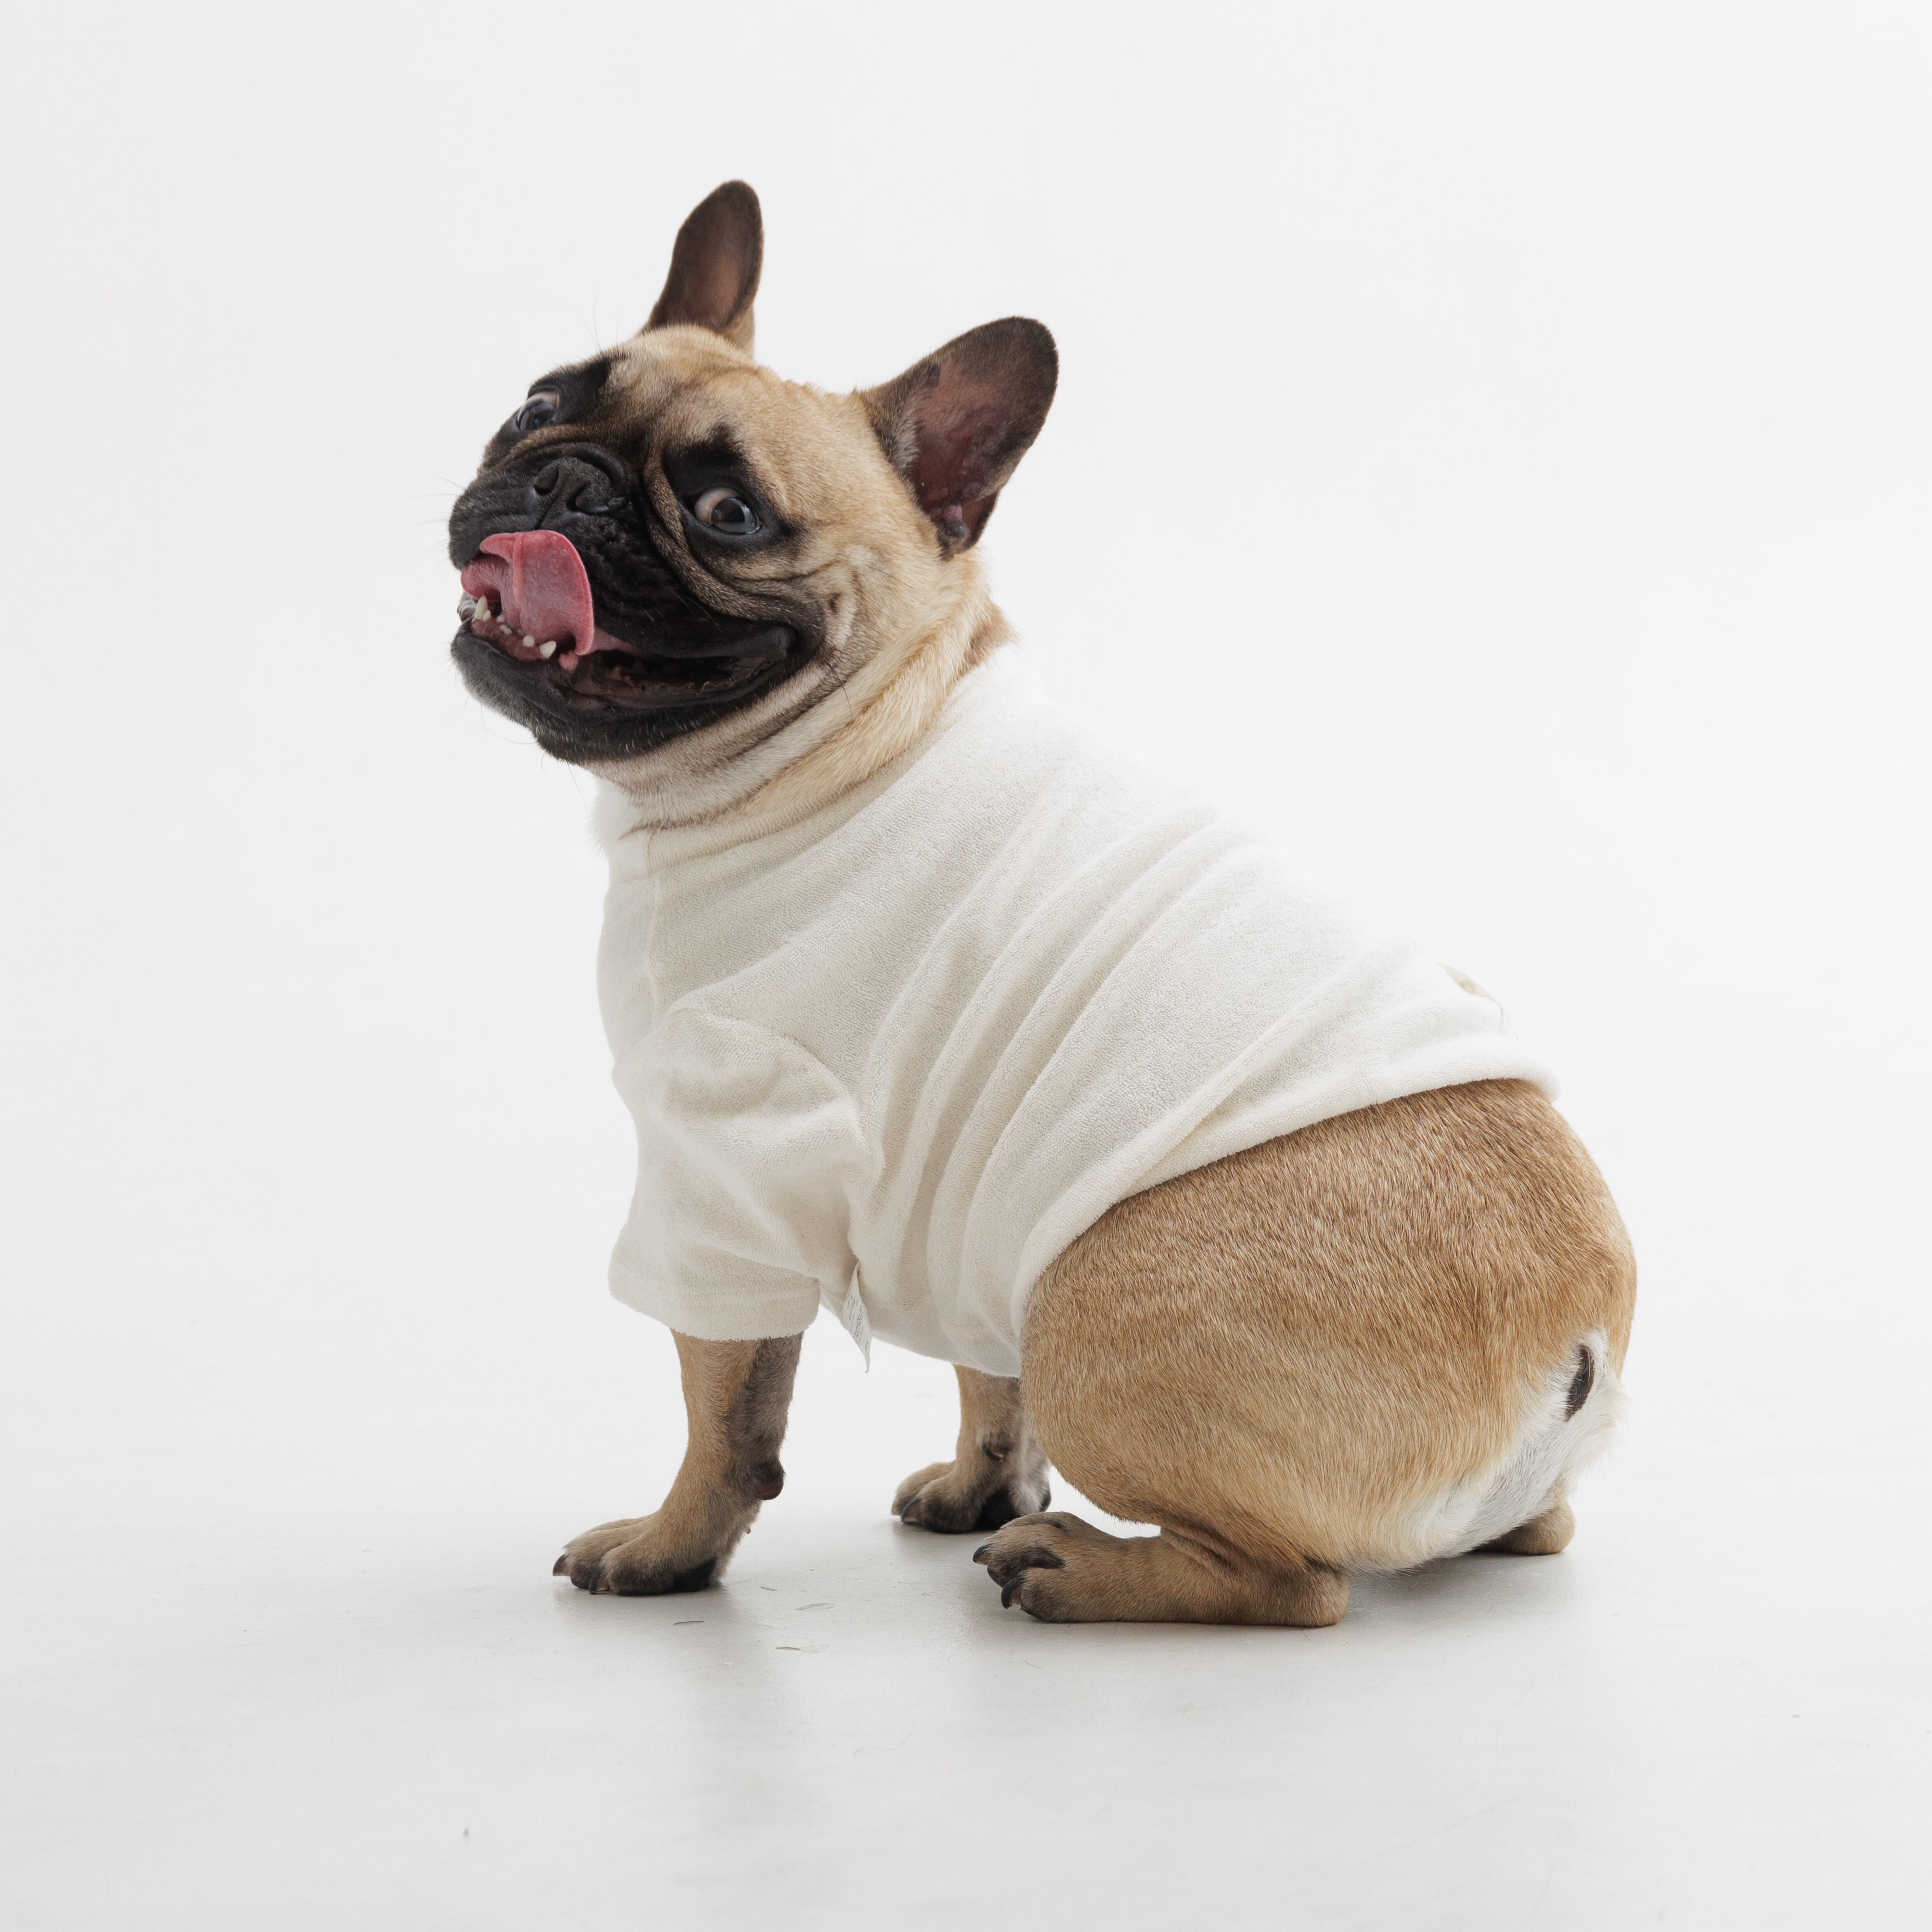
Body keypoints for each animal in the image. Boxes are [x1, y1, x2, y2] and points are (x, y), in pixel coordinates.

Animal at [446, 182, 1635, 1626]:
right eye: (535, 404)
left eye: (729, 513)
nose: (564, 480)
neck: (861, 733)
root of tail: (1577, 1335)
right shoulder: (968, 1196)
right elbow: (981, 1378)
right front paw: (981, 1487)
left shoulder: (726, 1166)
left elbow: (724, 1414)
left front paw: (668, 1549)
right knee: (1529, 1532)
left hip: (1092, 1313)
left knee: (1297, 1584)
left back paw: (1079, 1570)